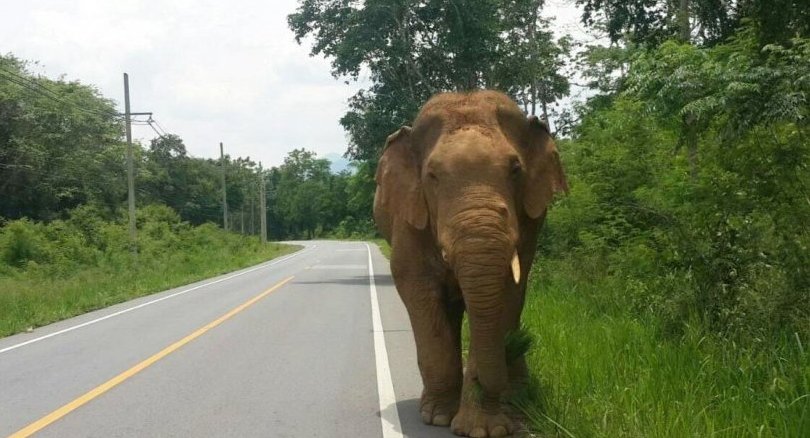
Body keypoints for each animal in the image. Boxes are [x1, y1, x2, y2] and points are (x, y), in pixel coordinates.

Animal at [374, 90, 568, 438]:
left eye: (515, 170)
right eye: (432, 176)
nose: (518, 345)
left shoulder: (529, 222)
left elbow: (508, 295)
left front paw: (484, 428)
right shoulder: (409, 215)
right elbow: (416, 286)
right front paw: (438, 418)